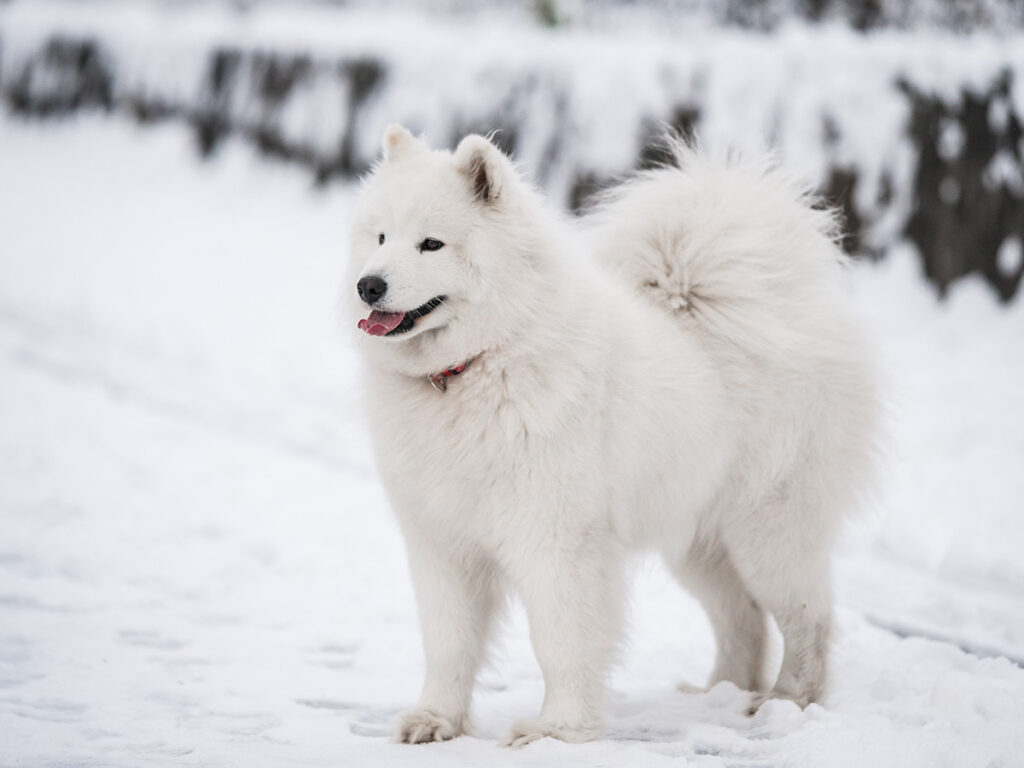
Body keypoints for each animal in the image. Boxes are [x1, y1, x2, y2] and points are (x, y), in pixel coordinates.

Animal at [348, 124, 876, 745]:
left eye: (431, 244)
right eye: (381, 236)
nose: (368, 285)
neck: (480, 365)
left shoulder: (558, 542)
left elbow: (561, 642)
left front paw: (557, 730)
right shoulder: (442, 543)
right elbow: (448, 643)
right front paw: (435, 721)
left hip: (768, 532)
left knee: (807, 617)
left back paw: (789, 700)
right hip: (699, 541)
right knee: (742, 617)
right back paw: (719, 694)